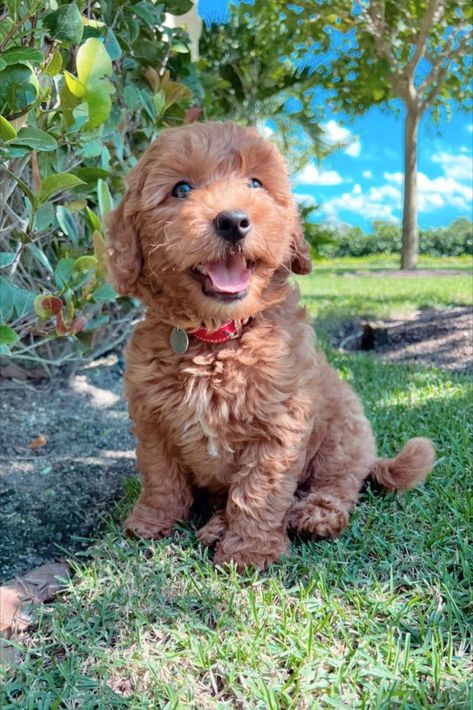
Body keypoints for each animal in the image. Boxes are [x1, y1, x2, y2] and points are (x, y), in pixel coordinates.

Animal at [105, 122, 434, 572]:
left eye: (256, 184)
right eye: (181, 189)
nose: (233, 220)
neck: (218, 338)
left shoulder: (279, 424)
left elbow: (260, 489)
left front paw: (249, 552)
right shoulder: (152, 417)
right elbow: (160, 475)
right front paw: (151, 521)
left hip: (344, 434)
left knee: (336, 485)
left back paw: (312, 516)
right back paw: (216, 525)